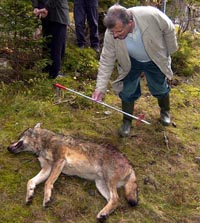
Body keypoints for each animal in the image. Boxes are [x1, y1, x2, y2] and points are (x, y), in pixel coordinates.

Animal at [7, 123, 138, 222]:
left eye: (19, 136)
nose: (8, 148)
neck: (45, 142)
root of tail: (130, 165)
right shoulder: (47, 168)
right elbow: (31, 181)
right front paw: (29, 195)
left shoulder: (59, 161)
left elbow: (47, 183)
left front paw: (46, 199)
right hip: (100, 184)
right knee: (114, 201)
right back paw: (103, 214)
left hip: (108, 180)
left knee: (115, 198)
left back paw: (103, 213)